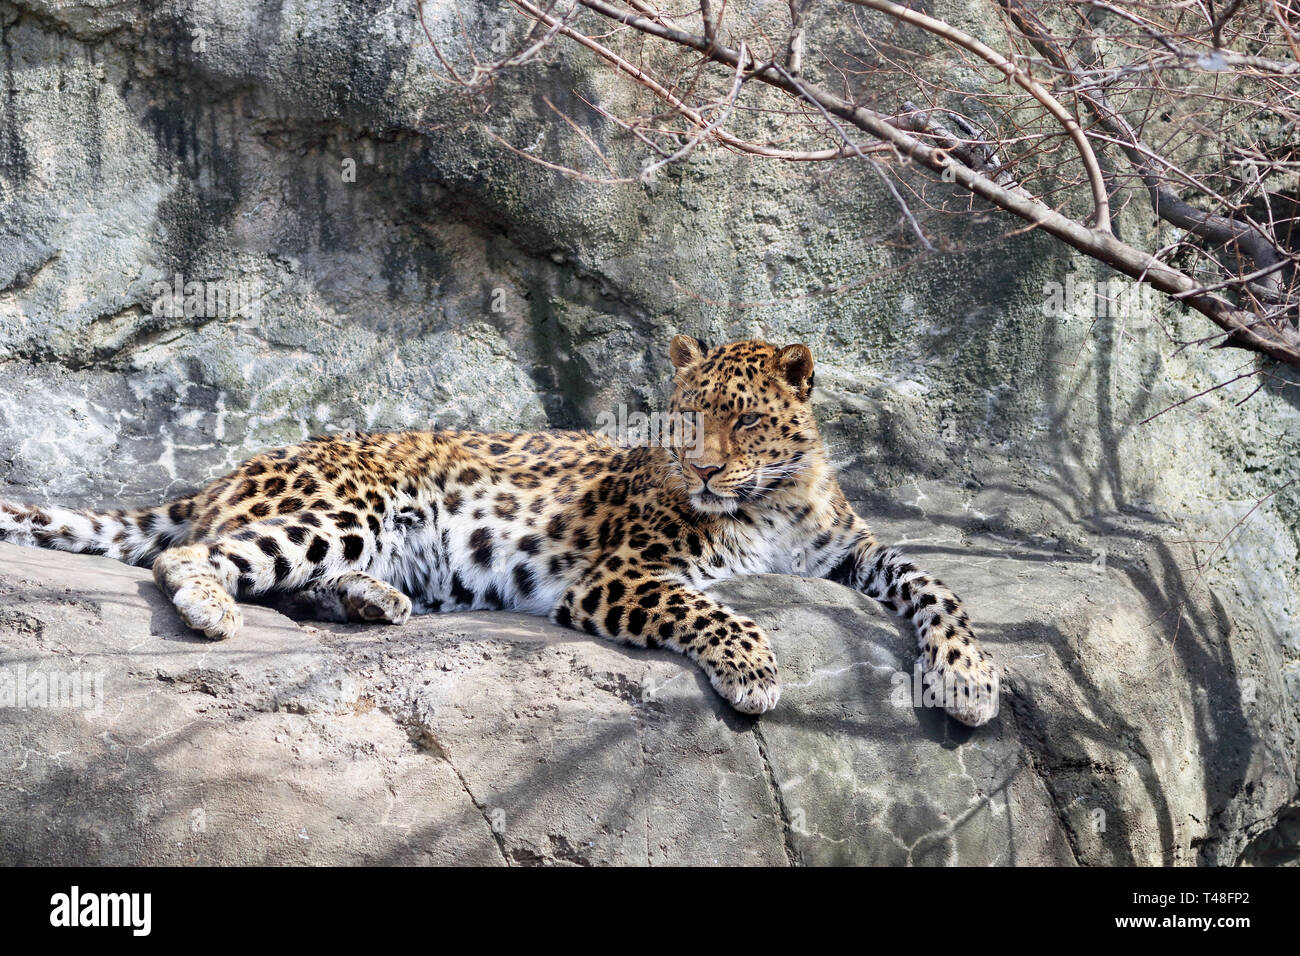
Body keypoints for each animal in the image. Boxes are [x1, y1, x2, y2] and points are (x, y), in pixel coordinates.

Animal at [0, 336, 999, 725]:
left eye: (746, 421)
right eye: (686, 418)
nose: (704, 472)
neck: (775, 502)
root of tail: (227, 470)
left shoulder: (854, 551)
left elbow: (935, 583)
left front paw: (967, 675)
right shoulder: (620, 575)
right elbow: (715, 609)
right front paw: (753, 669)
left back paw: (374, 602)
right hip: (352, 505)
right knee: (189, 552)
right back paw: (214, 609)